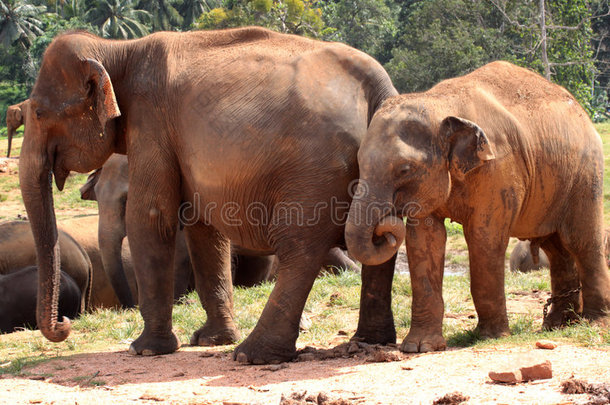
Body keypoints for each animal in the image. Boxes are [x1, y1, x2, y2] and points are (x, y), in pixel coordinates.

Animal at [19, 28, 394, 362]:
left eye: (38, 112)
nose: (64, 323)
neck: (117, 49)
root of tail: (379, 88)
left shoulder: (151, 124)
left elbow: (150, 218)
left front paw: (145, 349)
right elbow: (202, 229)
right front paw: (211, 339)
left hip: (313, 170)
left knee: (299, 250)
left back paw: (251, 355)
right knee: (377, 243)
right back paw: (369, 342)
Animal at [344, 60, 608, 354]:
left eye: (404, 169)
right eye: (359, 162)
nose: (385, 227)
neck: (439, 102)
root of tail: (583, 113)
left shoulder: (498, 169)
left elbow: (483, 238)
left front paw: (490, 336)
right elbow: (424, 241)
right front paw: (420, 347)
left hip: (586, 173)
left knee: (581, 241)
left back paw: (594, 323)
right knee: (557, 248)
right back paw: (558, 325)